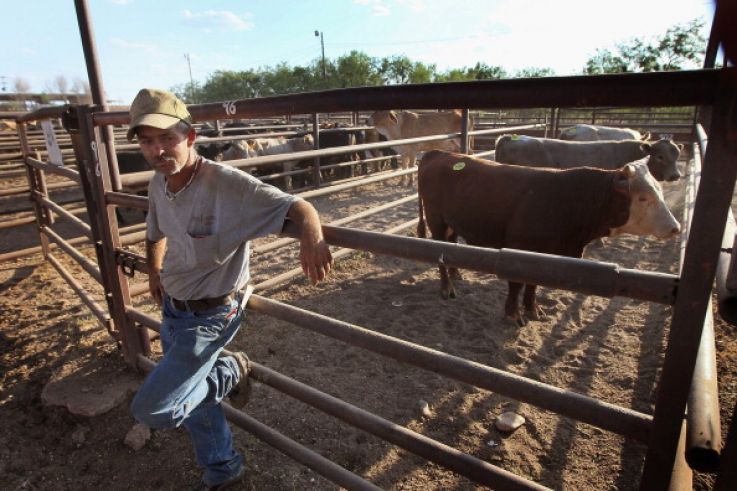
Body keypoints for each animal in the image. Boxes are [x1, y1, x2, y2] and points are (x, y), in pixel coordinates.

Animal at [416, 150, 680, 326]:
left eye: (659, 190)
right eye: (643, 197)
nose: (675, 227)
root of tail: (438, 154)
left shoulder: (542, 255)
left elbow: (533, 284)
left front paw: (533, 310)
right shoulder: (518, 250)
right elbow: (517, 284)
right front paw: (513, 314)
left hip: (452, 223)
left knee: (451, 245)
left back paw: (456, 274)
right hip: (436, 220)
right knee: (439, 252)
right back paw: (447, 288)